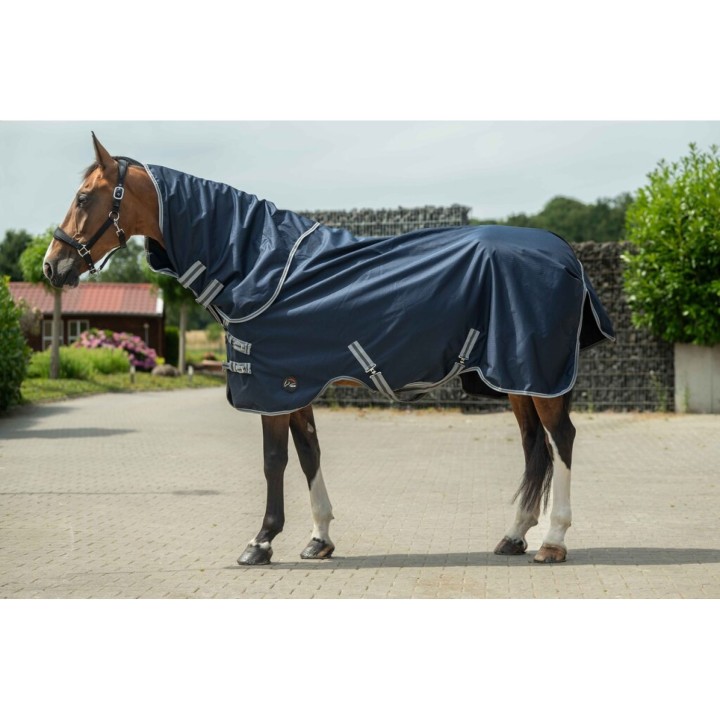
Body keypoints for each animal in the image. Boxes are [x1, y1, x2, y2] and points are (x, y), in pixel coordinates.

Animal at [43, 133, 614, 565]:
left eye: (84, 198)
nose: (52, 266)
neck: (260, 263)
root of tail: (565, 254)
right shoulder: (294, 383)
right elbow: (308, 454)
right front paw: (318, 538)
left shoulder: (270, 385)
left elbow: (274, 461)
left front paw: (261, 541)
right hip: (517, 377)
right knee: (534, 448)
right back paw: (515, 536)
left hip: (538, 374)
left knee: (561, 440)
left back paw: (553, 541)